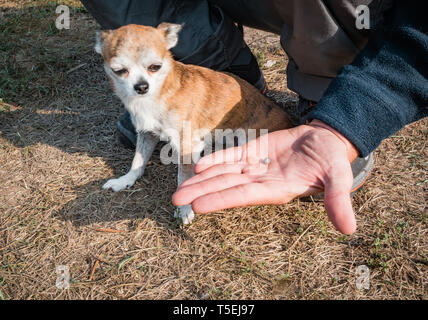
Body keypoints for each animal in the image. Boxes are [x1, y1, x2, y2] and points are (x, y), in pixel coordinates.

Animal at [95, 23, 292, 224]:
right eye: (119, 70)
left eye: (155, 67)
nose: (141, 86)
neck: (157, 95)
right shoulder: (146, 134)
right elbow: (138, 161)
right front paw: (125, 180)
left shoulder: (187, 145)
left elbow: (183, 178)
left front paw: (184, 207)